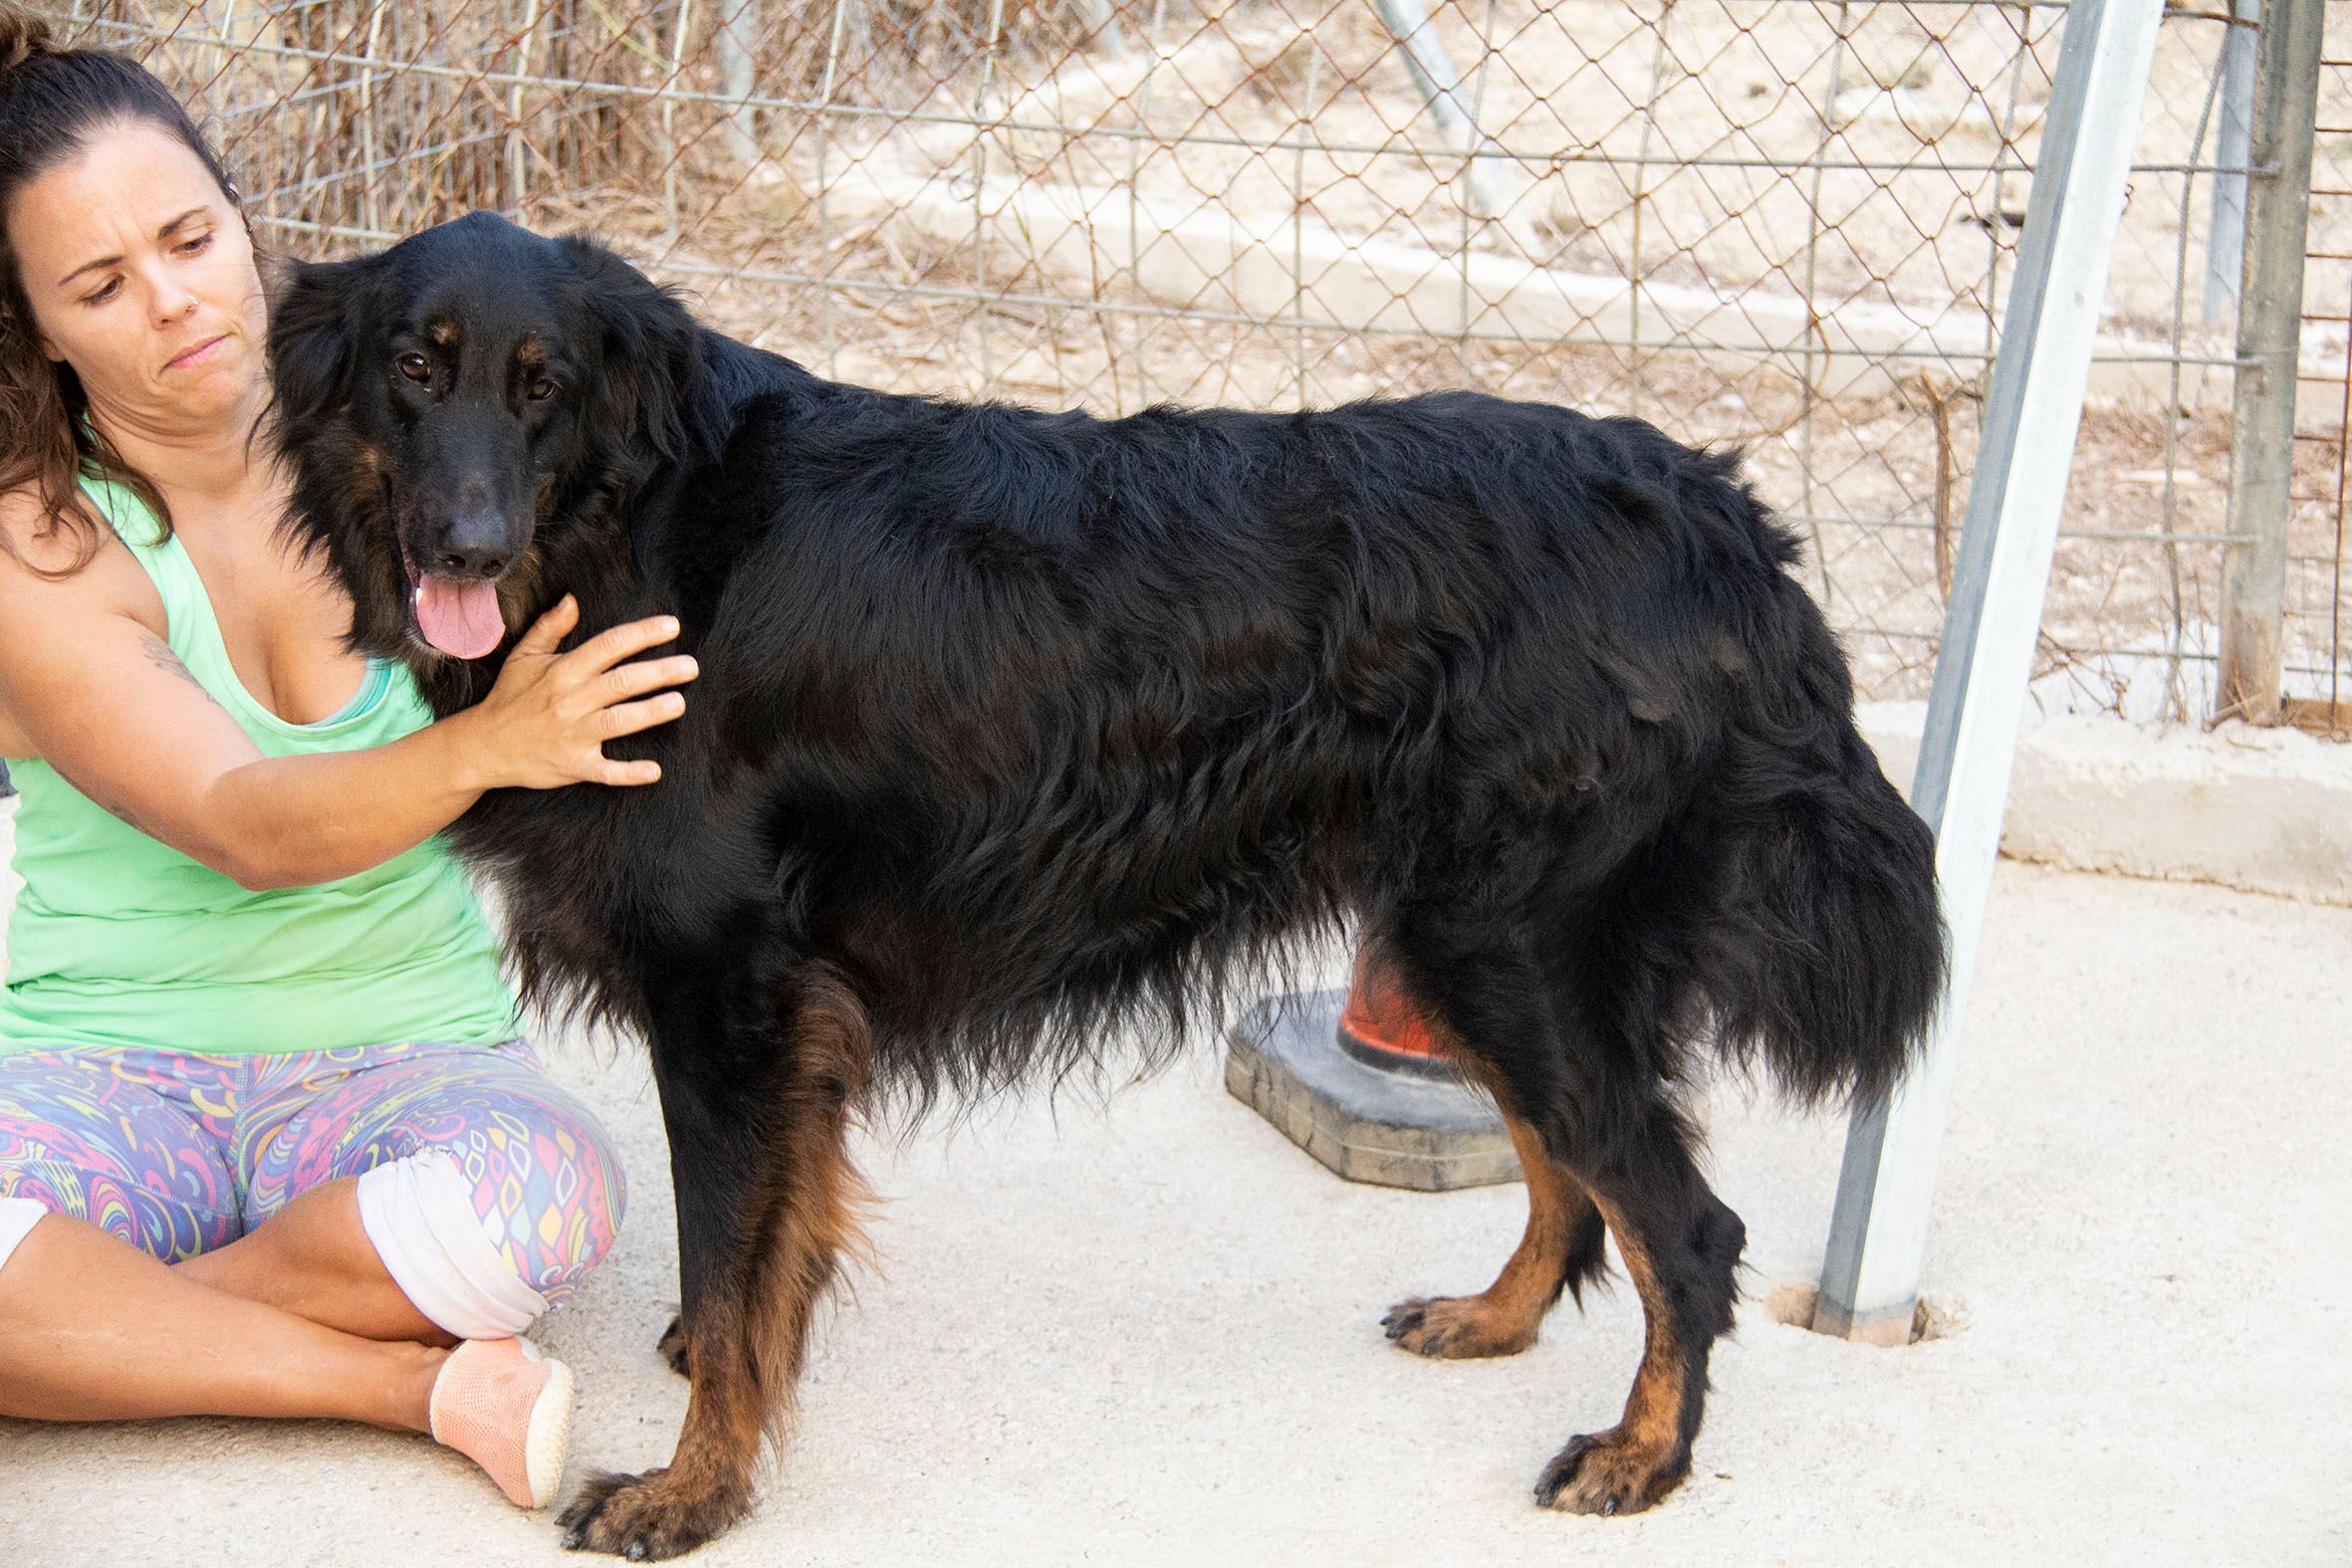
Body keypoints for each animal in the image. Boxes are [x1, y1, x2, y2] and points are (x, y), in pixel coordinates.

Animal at [267, 210, 1945, 1558]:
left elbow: (732, 1253)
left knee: (1683, 1225)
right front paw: (727, 1376)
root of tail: (1713, 513)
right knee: (1570, 1174)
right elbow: (769, 1242)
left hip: (1512, 940)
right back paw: (1496, 1312)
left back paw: (1641, 1453)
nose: (463, 542)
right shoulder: (791, 1014)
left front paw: (697, 1486)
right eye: (413, 369)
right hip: (1463, 936)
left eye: (540, 383)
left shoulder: (728, 995)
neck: (640, 528)